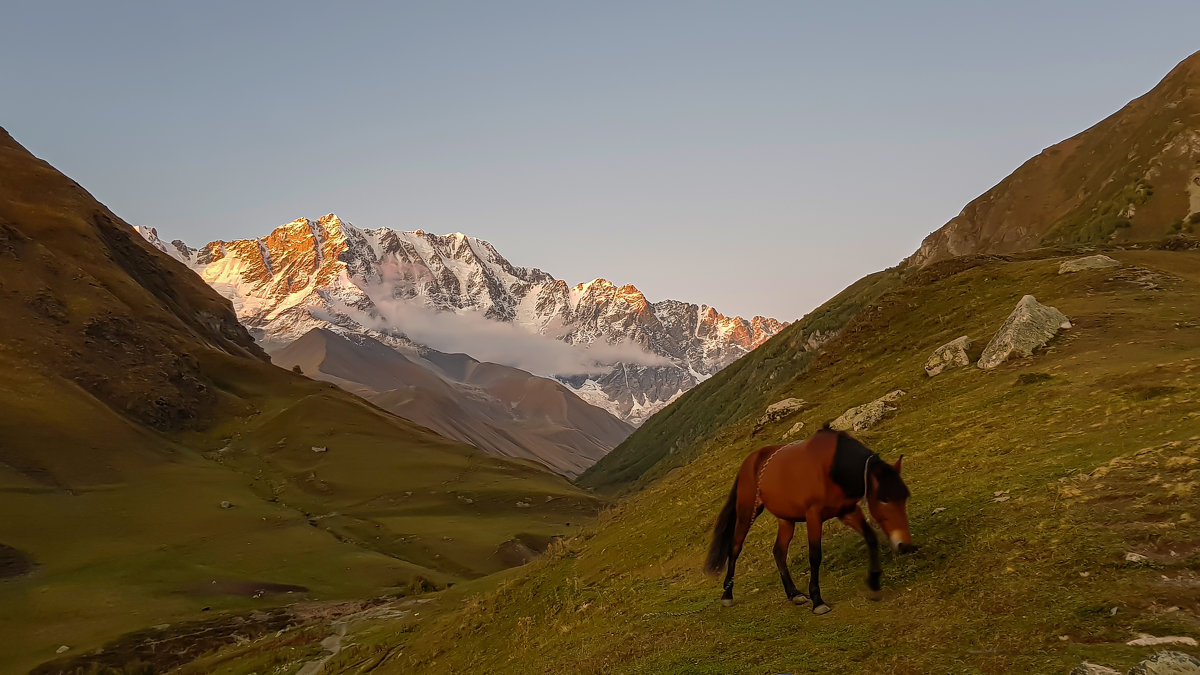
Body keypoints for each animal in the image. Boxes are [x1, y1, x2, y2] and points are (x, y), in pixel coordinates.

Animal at [700, 422, 907, 612]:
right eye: (884, 499)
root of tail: (749, 461)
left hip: (786, 519)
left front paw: (874, 584)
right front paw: (818, 601)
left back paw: (794, 594)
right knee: (735, 548)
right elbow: (815, 555)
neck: (832, 467)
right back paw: (727, 595)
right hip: (747, 512)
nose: (905, 545)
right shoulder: (813, 515)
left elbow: (871, 538)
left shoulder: (847, 511)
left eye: (905, 497)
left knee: (779, 551)